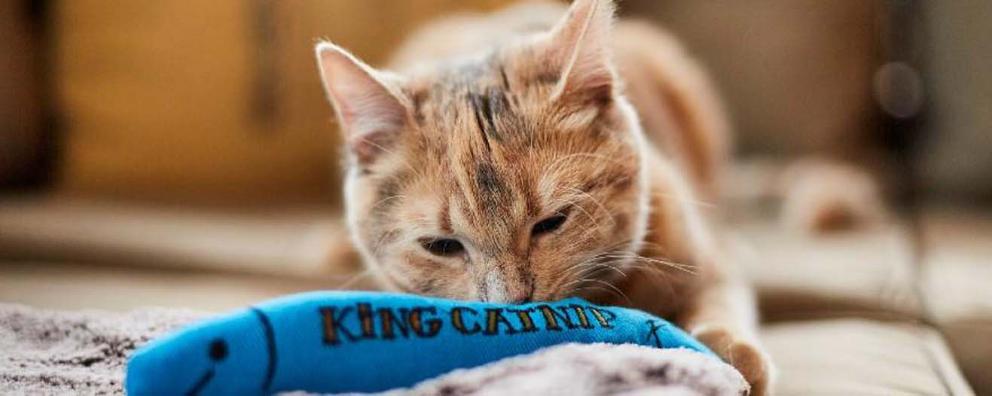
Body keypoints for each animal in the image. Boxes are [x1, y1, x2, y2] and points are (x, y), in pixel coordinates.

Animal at [314, 0, 772, 392]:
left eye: (553, 222)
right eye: (441, 246)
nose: (513, 302)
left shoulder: (708, 258)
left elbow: (719, 300)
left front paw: (732, 352)